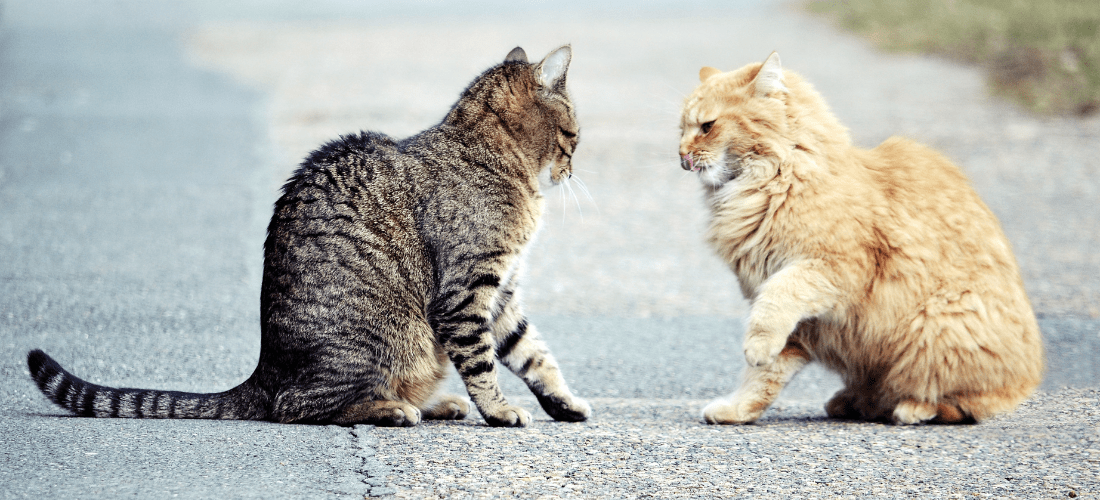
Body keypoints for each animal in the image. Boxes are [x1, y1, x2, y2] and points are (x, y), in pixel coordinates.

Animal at [25, 45, 589, 426]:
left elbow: (532, 353)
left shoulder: (503, 291)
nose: (572, 167)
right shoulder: (467, 291)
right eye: (574, 135)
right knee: (298, 406)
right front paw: (499, 410)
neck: (494, 159)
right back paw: (391, 408)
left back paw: (430, 404)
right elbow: (483, 363)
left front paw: (563, 402)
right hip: (386, 340)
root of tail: (264, 370)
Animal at [682, 52, 1042, 424]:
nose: (681, 154)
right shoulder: (795, 318)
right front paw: (738, 409)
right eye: (682, 128)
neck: (772, 184)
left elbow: (775, 305)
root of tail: (1031, 375)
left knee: (968, 400)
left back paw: (912, 408)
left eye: (707, 126)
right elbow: (764, 375)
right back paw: (854, 402)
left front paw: (756, 346)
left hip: (942, 321)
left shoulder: (832, 271)